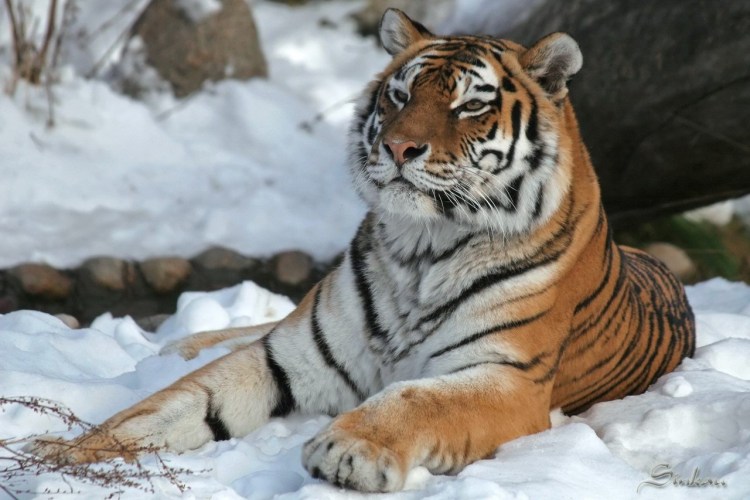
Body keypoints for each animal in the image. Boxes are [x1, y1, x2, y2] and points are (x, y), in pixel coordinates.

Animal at [32, 9, 696, 493]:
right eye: (400, 96)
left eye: (470, 105)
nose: (400, 148)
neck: (422, 247)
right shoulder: (286, 355)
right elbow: (162, 409)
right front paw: (53, 454)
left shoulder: (508, 377)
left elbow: (413, 398)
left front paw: (346, 450)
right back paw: (178, 343)